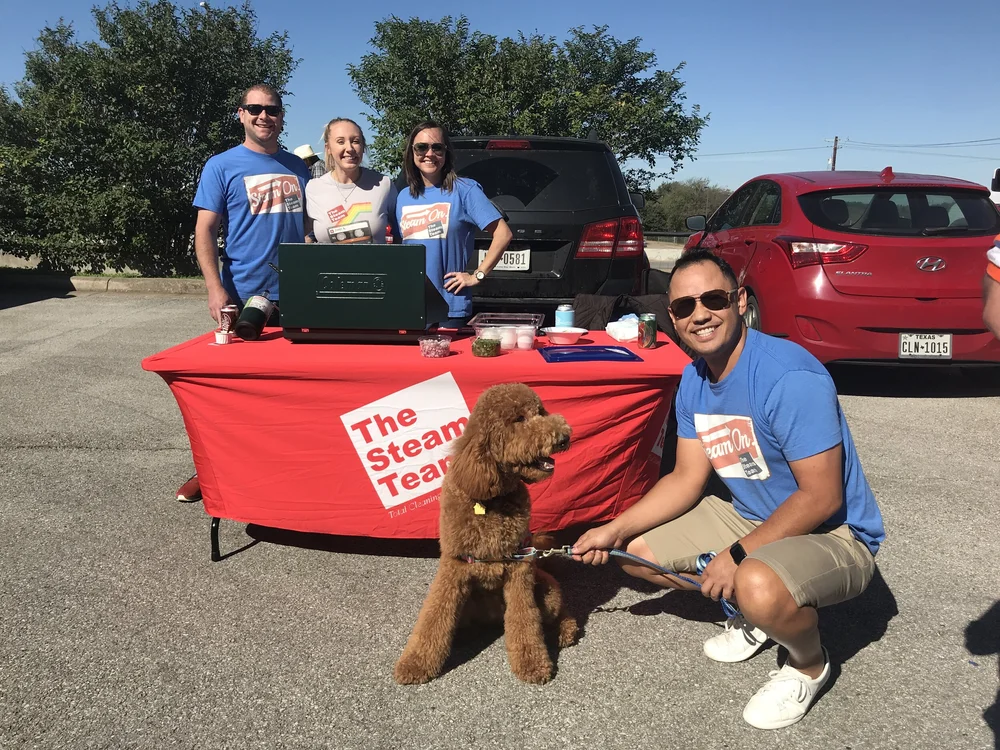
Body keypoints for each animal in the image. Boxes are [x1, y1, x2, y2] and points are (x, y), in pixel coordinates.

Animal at [394, 383, 579, 685]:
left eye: (540, 412)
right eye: (519, 419)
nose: (564, 437)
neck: (491, 500)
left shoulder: (519, 567)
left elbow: (525, 620)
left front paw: (532, 663)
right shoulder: (455, 565)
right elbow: (434, 617)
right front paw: (415, 664)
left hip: (546, 590)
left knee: (556, 611)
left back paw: (566, 630)